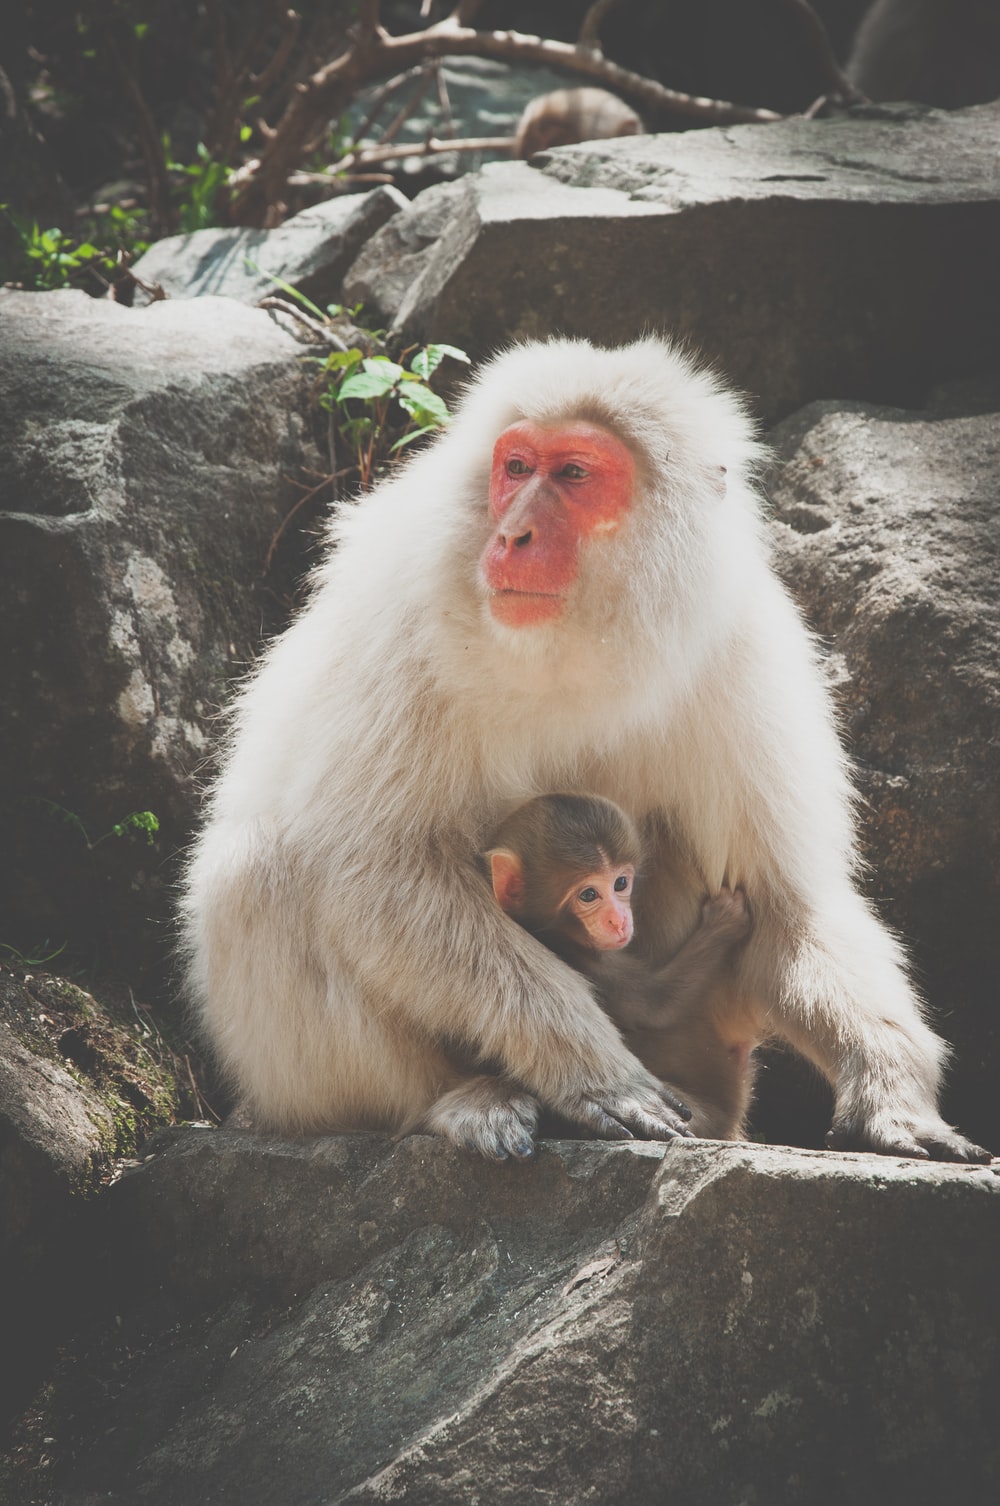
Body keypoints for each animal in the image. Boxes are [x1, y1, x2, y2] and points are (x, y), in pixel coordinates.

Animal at [485, 793, 755, 1139]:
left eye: (621, 883)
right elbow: (657, 1005)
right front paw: (724, 921)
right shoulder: (594, 966)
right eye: (589, 894)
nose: (618, 920)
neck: (554, 932)